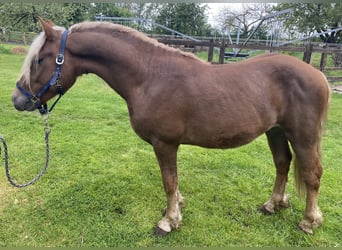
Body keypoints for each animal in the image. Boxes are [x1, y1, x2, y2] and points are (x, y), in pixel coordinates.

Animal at [12, 18, 330, 236]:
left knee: (312, 174)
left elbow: (168, 181)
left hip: (303, 136)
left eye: (40, 59)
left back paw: (309, 221)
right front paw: (177, 207)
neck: (149, 77)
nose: (17, 99)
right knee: (283, 163)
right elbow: (174, 182)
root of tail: (319, 76)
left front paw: (169, 221)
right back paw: (272, 204)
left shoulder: (165, 143)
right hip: (275, 131)